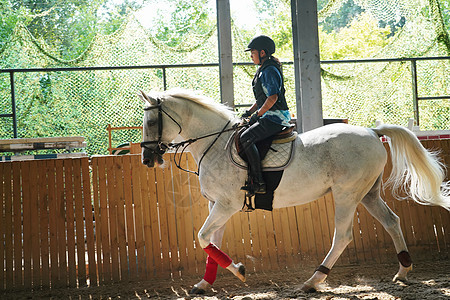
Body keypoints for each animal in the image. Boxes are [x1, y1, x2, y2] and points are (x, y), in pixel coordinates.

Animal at [139, 88, 448, 292]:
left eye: (152, 122)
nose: (147, 159)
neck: (214, 143)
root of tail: (373, 132)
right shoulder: (216, 204)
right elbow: (211, 242)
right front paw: (205, 283)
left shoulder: (227, 205)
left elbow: (203, 237)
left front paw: (238, 270)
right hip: (368, 194)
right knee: (392, 222)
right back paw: (403, 271)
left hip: (347, 194)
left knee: (343, 236)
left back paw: (313, 281)